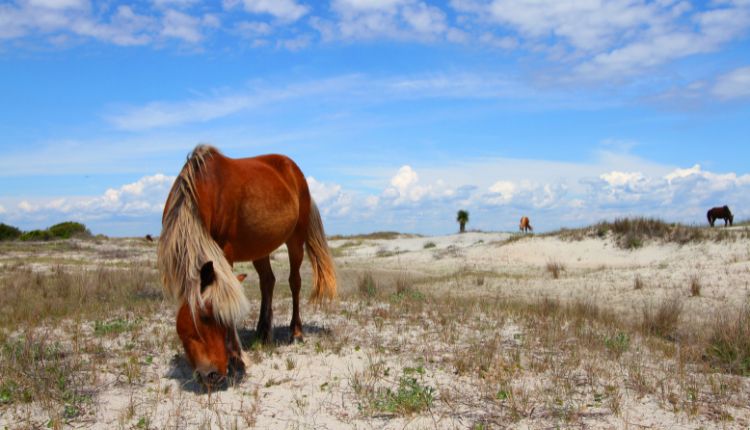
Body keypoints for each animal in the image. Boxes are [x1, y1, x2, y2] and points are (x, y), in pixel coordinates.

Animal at [159, 145, 338, 386]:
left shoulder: (225, 252)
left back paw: (296, 332)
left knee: (294, 282)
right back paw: (262, 332)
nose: (212, 374)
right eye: (205, 316)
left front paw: (237, 358)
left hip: (295, 241)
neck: (203, 190)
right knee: (268, 281)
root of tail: (294, 170)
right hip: (260, 248)